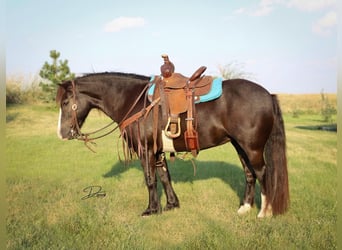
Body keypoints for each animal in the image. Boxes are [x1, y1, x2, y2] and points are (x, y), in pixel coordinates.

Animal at [56, 71, 288, 218]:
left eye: (66, 102)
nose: (62, 134)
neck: (135, 102)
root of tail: (268, 95)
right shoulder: (157, 151)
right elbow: (165, 177)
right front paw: (171, 205)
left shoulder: (145, 150)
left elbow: (151, 180)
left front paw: (151, 210)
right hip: (240, 146)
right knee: (249, 173)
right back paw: (245, 209)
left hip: (253, 147)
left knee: (262, 173)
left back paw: (264, 212)